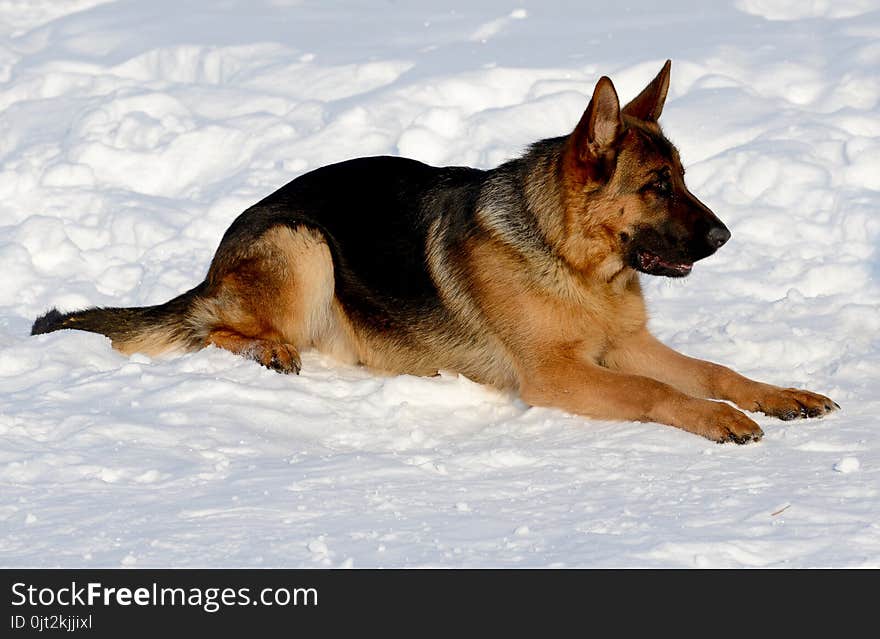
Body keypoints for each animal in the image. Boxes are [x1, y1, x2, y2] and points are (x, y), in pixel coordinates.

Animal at [29, 63, 840, 444]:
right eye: (656, 186)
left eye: (685, 178)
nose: (725, 238)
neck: (567, 258)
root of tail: (211, 265)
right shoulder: (561, 376)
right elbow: (656, 392)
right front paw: (719, 419)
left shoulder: (628, 344)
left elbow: (714, 371)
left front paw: (780, 394)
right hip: (302, 242)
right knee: (220, 329)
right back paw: (270, 351)